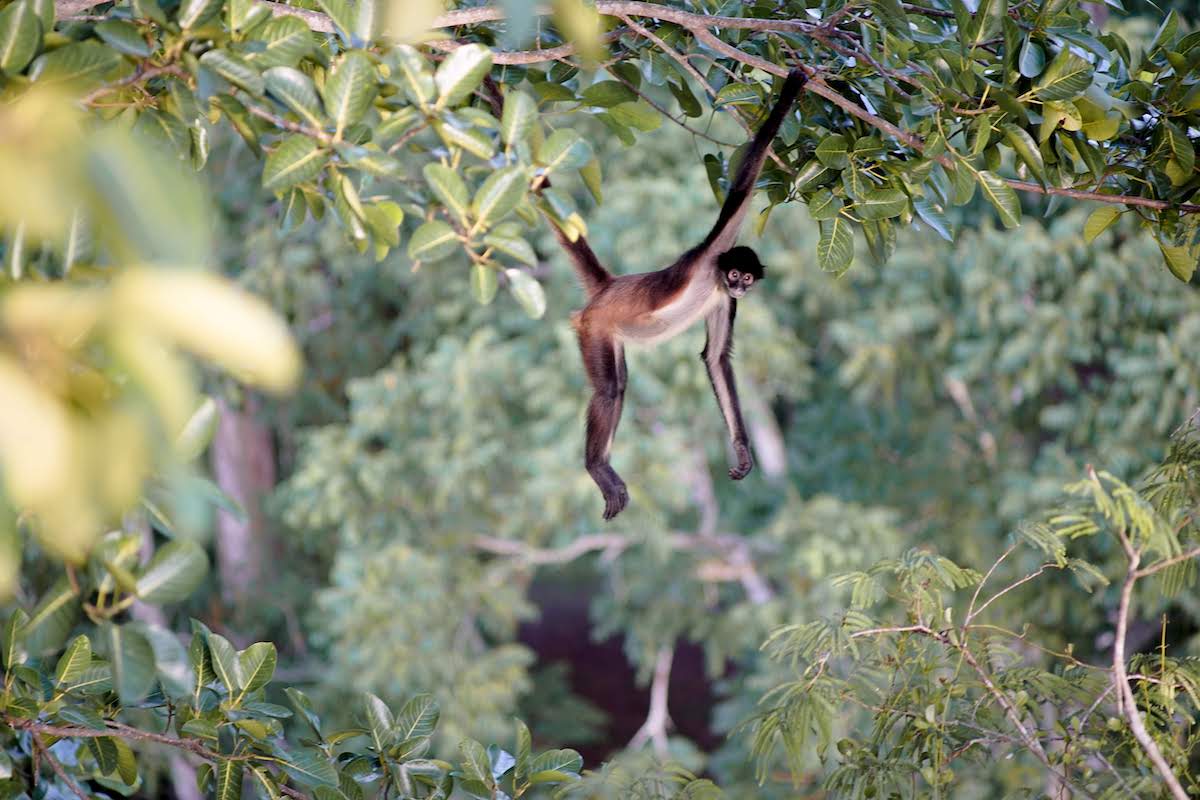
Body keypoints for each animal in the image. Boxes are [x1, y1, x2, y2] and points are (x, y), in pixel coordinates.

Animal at [547, 68, 806, 520]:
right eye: (734, 272)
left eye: (746, 278)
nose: (740, 284)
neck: (714, 279)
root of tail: (609, 287)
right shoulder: (711, 253)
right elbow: (741, 191)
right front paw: (792, 87)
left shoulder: (725, 301)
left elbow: (716, 358)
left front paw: (742, 451)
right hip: (594, 326)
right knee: (609, 390)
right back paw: (596, 466)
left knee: (621, 384)